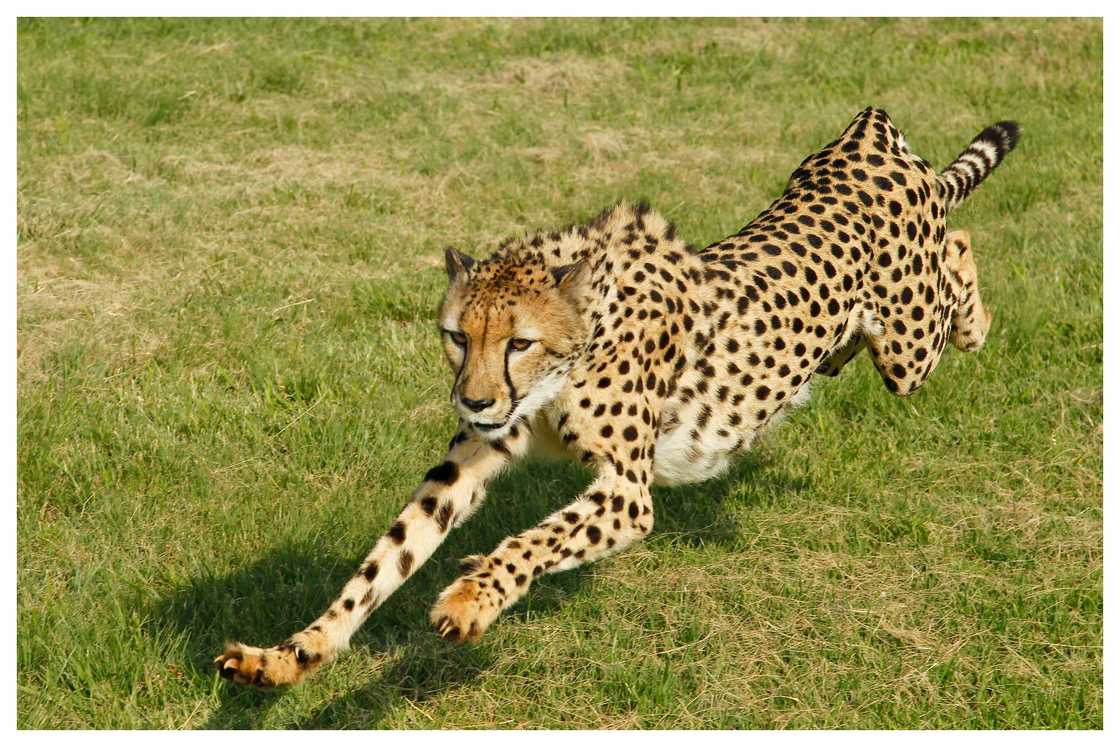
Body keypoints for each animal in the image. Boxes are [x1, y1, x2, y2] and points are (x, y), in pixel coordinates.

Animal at [213, 108, 1021, 685]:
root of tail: (874, 137)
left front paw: (473, 597)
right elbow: (384, 561)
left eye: (518, 342)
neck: (578, 339)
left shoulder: (629, 492)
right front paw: (290, 655)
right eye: (456, 335)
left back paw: (974, 313)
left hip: (909, 347)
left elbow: (532, 541)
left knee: (959, 250)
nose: (473, 402)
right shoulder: (470, 459)